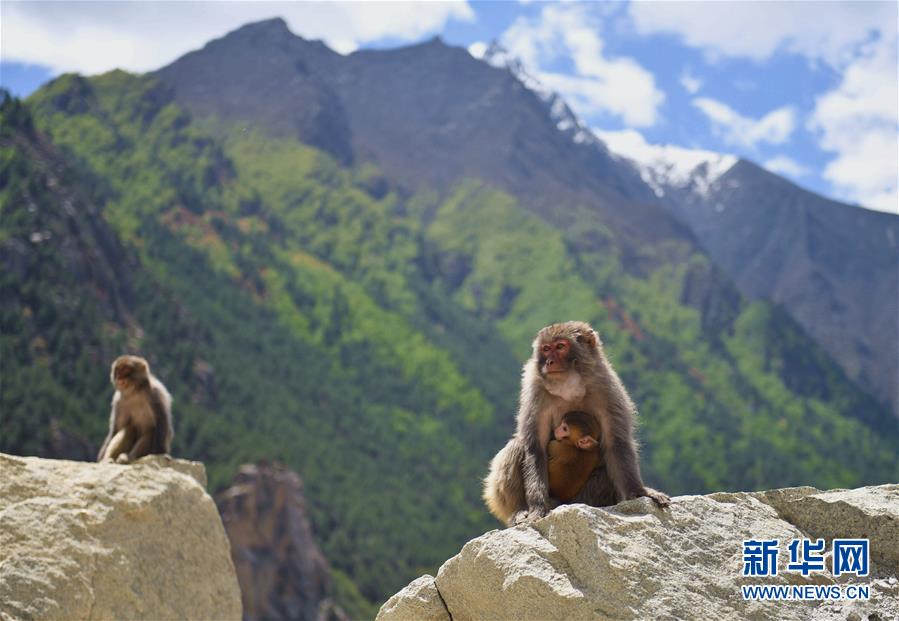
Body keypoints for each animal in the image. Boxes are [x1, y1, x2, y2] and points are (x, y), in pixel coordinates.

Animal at [486, 320, 668, 524]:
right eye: (546, 349)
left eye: (560, 346)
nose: (549, 362)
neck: (569, 386)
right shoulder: (535, 390)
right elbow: (534, 447)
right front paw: (536, 508)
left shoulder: (607, 388)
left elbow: (616, 442)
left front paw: (639, 492)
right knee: (517, 446)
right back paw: (519, 510)